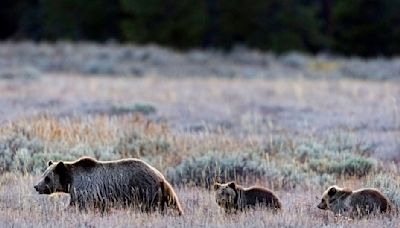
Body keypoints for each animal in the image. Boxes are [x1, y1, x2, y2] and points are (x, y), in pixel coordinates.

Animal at [34, 157, 184, 216]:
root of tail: (161, 177)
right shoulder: (99, 198)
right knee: (171, 205)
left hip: (145, 191)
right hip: (162, 194)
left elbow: (77, 205)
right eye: (43, 174)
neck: (71, 180)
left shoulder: (85, 190)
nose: (36, 186)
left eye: (47, 178)